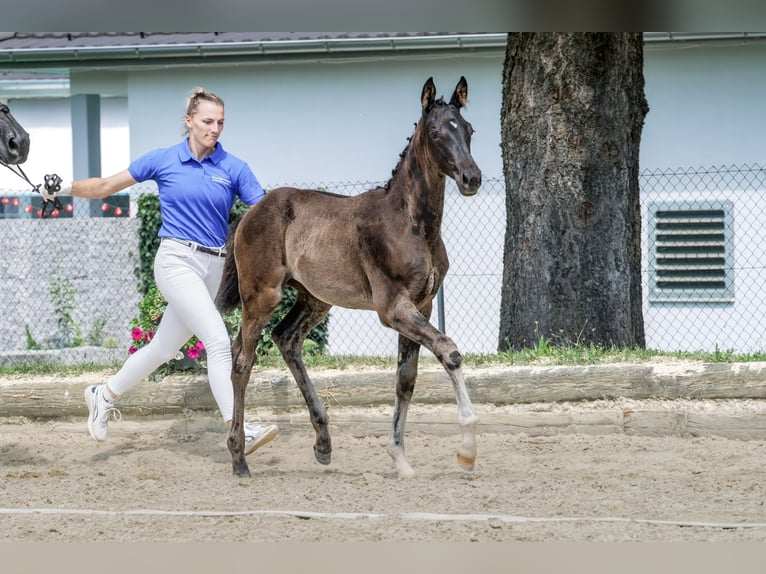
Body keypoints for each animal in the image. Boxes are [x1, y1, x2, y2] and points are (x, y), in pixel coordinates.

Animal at [218, 77, 480, 482]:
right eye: (436, 132)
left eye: (468, 130)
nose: (472, 178)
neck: (410, 224)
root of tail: (249, 212)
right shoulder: (393, 309)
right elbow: (448, 351)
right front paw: (466, 449)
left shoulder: (420, 305)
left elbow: (406, 379)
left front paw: (400, 459)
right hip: (261, 296)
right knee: (242, 361)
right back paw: (239, 459)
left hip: (315, 299)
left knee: (286, 339)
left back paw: (323, 443)